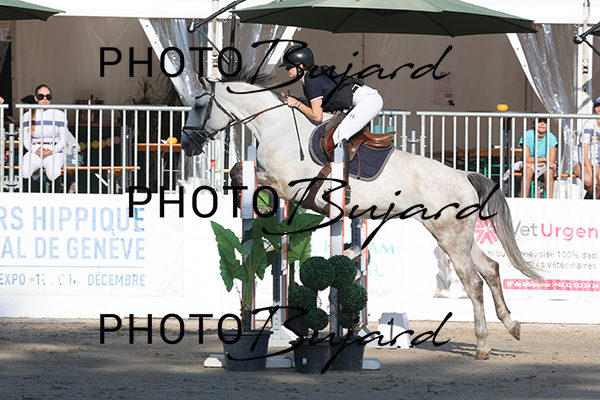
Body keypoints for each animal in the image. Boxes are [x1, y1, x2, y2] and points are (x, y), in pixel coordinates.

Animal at [181, 76, 542, 360]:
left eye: (198, 104)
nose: (186, 144)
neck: (276, 127)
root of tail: (464, 175)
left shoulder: (285, 184)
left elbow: (242, 171)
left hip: (450, 236)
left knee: (473, 282)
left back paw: (483, 345)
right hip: (457, 236)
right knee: (490, 269)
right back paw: (512, 325)